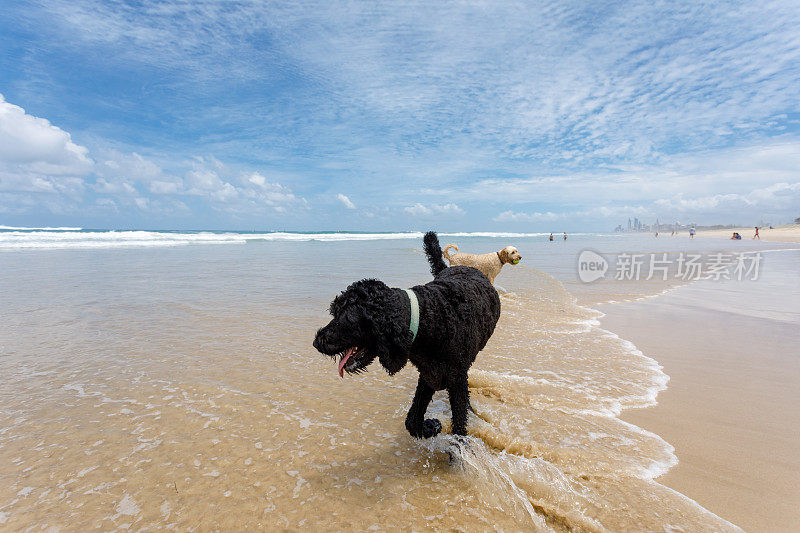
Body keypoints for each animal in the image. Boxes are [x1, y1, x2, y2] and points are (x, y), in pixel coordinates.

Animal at [314, 232, 496, 436]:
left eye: (345, 318)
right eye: (334, 312)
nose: (317, 341)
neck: (428, 316)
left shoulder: (455, 378)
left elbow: (458, 425)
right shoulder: (429, 374)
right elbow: (412, 421)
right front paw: (431, 426)